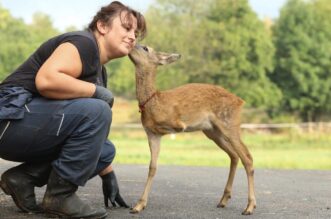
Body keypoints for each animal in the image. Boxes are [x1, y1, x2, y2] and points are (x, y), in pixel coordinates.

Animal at [127, 45, 256, 216]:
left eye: (146, 48)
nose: (131, 44)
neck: (153, 101)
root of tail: (240, 101)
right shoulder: (152, 133)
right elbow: (152, 167)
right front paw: (139, 205)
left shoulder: (173, 125)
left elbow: (177, 127)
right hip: (213, 132)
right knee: (234, 156)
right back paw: (223, 200)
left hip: (229, 124)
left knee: (247, 158)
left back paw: (249, 207)